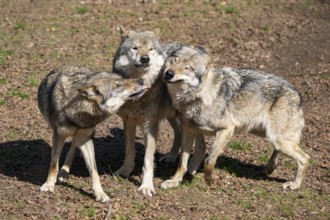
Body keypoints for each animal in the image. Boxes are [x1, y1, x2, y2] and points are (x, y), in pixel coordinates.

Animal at [37, 65, 148, 203]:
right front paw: (48, 185)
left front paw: (99, 193)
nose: (141, 81)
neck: (75, 111)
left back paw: (64, 172)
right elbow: (54, 164)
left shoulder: (85, 139)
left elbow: (94, 170)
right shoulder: (58, 136)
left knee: (73, 146)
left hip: (83, 136)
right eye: (117, 85)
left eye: (123, 79)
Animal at [111, 27, 204, 196]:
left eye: (150, 49)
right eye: (135, 48)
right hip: (172, 116)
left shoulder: (150, 126)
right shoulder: (128, 122)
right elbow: (129, 151)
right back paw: (172, 157)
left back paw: (192, 169)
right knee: (179, 134)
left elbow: (148, 160)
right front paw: (124, 171)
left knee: (201, 143)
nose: (145, 59)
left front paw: (146, 186)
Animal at [161, 46, 310, 191]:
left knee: (305, 158)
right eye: (174, 60)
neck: (198, 96)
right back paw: (270, 167)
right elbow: (182, 162)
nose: (169, 73)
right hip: (267, 135)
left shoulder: (227, 129)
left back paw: (294, 184)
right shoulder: (189, 131)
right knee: (280, 150)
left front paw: (210, 180)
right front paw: (174, 181)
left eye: (188, 68)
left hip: (277, 138)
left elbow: (209, 160)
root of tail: (297, 92)